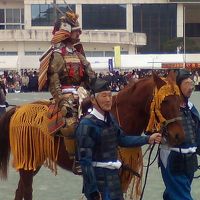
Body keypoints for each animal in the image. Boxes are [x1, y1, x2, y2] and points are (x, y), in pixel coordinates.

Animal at [0, 72, 184, 200]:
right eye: (165, 101)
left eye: (179, 100)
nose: (178, 136)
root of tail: (18, 109)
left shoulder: (122, 176)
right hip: (28, 163)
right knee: (26, 190)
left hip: (33, 162)